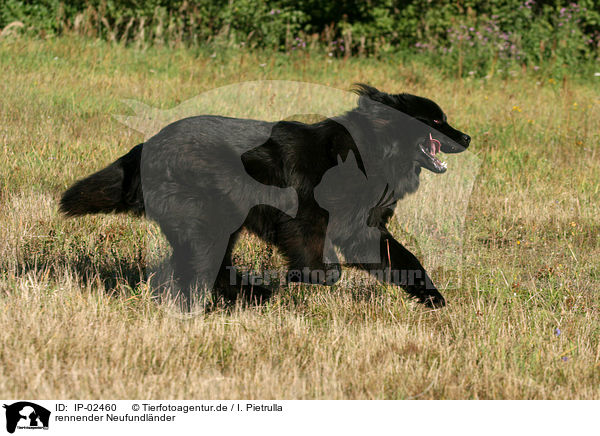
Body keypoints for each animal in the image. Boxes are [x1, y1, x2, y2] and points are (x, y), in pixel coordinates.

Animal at [62, 85, 474, 308]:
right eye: (435, 121)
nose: (468, 137)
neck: (373, 150)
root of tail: (146, 147)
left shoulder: (363, 231)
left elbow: (405, 259)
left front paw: (433, 298)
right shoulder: (306, 220)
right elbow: (325, 269)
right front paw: (303, 278)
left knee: (203, 268)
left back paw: (249, 294)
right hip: (209, 221)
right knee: (202, 267)